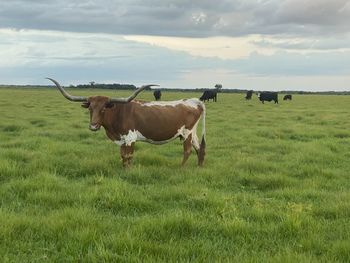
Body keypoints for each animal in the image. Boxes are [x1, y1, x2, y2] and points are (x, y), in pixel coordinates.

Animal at [46, 79, 205, 169]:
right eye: (90, 108)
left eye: (103, 108)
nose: (93, 126)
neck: (118, 113)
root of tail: (194, 101)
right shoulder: (121, 139)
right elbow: (122, 155)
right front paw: (123, 169)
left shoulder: (130, 138)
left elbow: (128, 156)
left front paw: (129, 170)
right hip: (193, 133)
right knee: (199, 148)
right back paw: (199, 167)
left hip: (187, 133)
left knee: (188, 150)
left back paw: (181, 168)